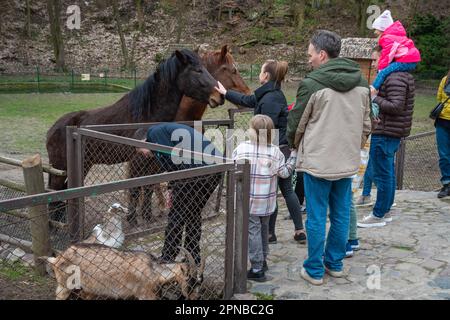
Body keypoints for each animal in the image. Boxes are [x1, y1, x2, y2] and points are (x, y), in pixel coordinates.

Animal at [46, 49, 225, 220]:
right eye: (197, 70)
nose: (220, 96)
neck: (146, 113)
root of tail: (53, 129)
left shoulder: (151, 162)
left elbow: (148, 187)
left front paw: (146, 216)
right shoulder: (137, 161)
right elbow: (136, 189)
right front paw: (132, 219)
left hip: (83, 165)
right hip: (61, 168)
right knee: (54, 194)